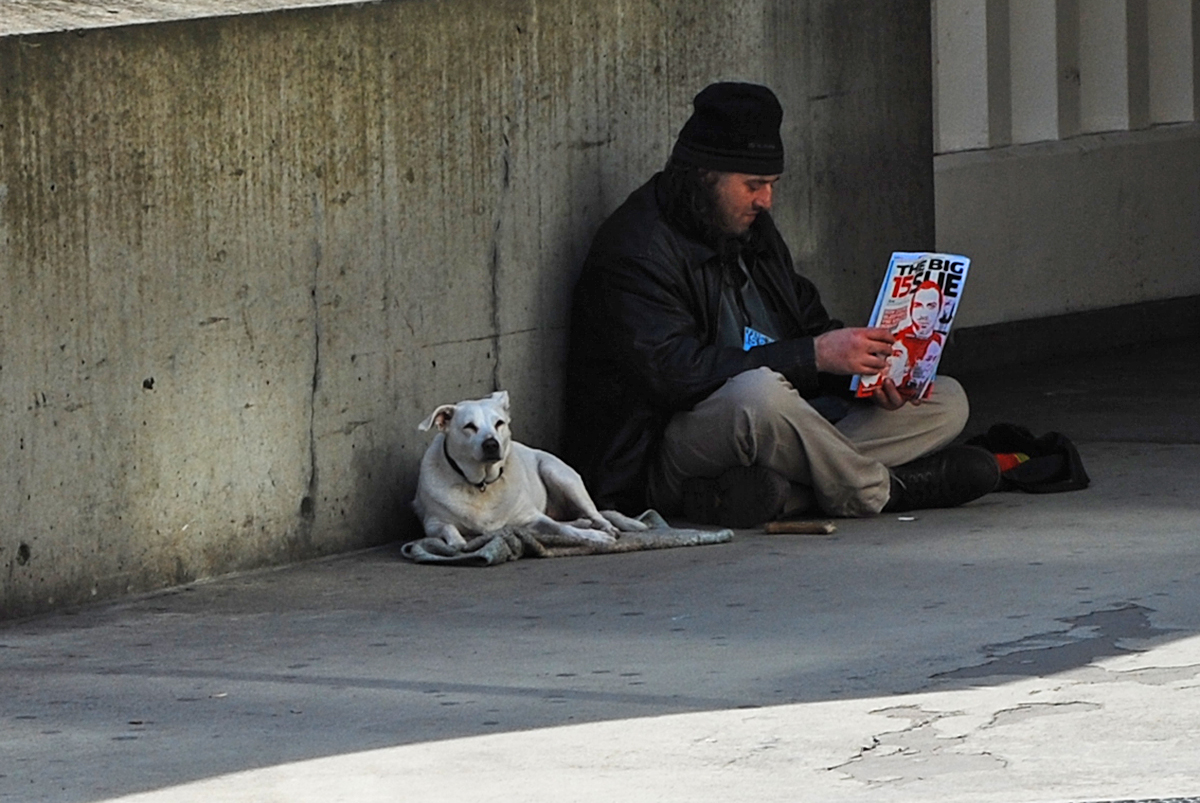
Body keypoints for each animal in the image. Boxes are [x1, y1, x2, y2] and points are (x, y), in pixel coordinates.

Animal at [410, 388, 648, 552]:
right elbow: (449, 529)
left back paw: (602, 526)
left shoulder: (532, 517)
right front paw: (458, 542)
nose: (491, 444)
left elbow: (562, 529)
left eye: (499, 423)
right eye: (469, 426)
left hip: (558, 474)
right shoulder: (433, 523)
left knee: (595, 514)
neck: (482, 484)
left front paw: (593, 537)